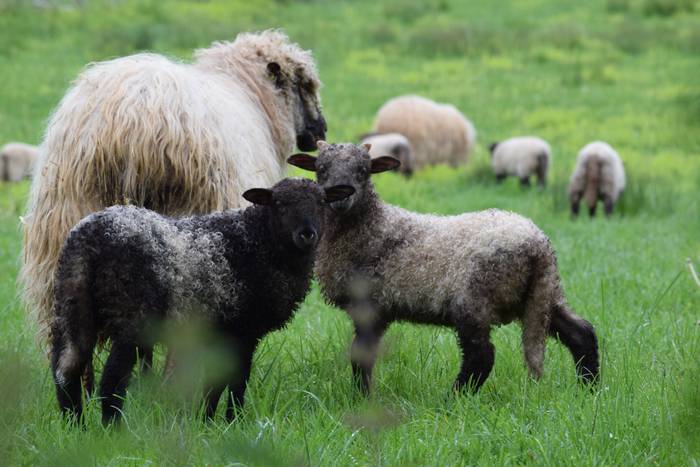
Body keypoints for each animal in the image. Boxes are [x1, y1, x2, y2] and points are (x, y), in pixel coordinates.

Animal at [50, 176, 356, 424]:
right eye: (279, 204)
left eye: (322, 202)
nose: (307, 234)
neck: (258, 241)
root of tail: (90, 238)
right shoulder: (243, 330)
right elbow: (236, 379)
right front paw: (232, 422)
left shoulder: (223, 333)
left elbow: (215, 383)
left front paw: (206, 422)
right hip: (131, 316)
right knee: (112, 378)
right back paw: (112, 429)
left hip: (71, 306)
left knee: (66, 370)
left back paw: (76, 428)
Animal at [288, 142, 600, 394]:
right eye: (320, 169)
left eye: (364, 171)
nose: (340, 195)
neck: (373, 227)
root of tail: (538, 245)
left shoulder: (371, 306)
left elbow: (361, 355)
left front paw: (362, 400)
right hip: (542, 295)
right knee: (581, 333)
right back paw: (589, 390)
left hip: (476, 300)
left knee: (481, 356)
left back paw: (453, 399)